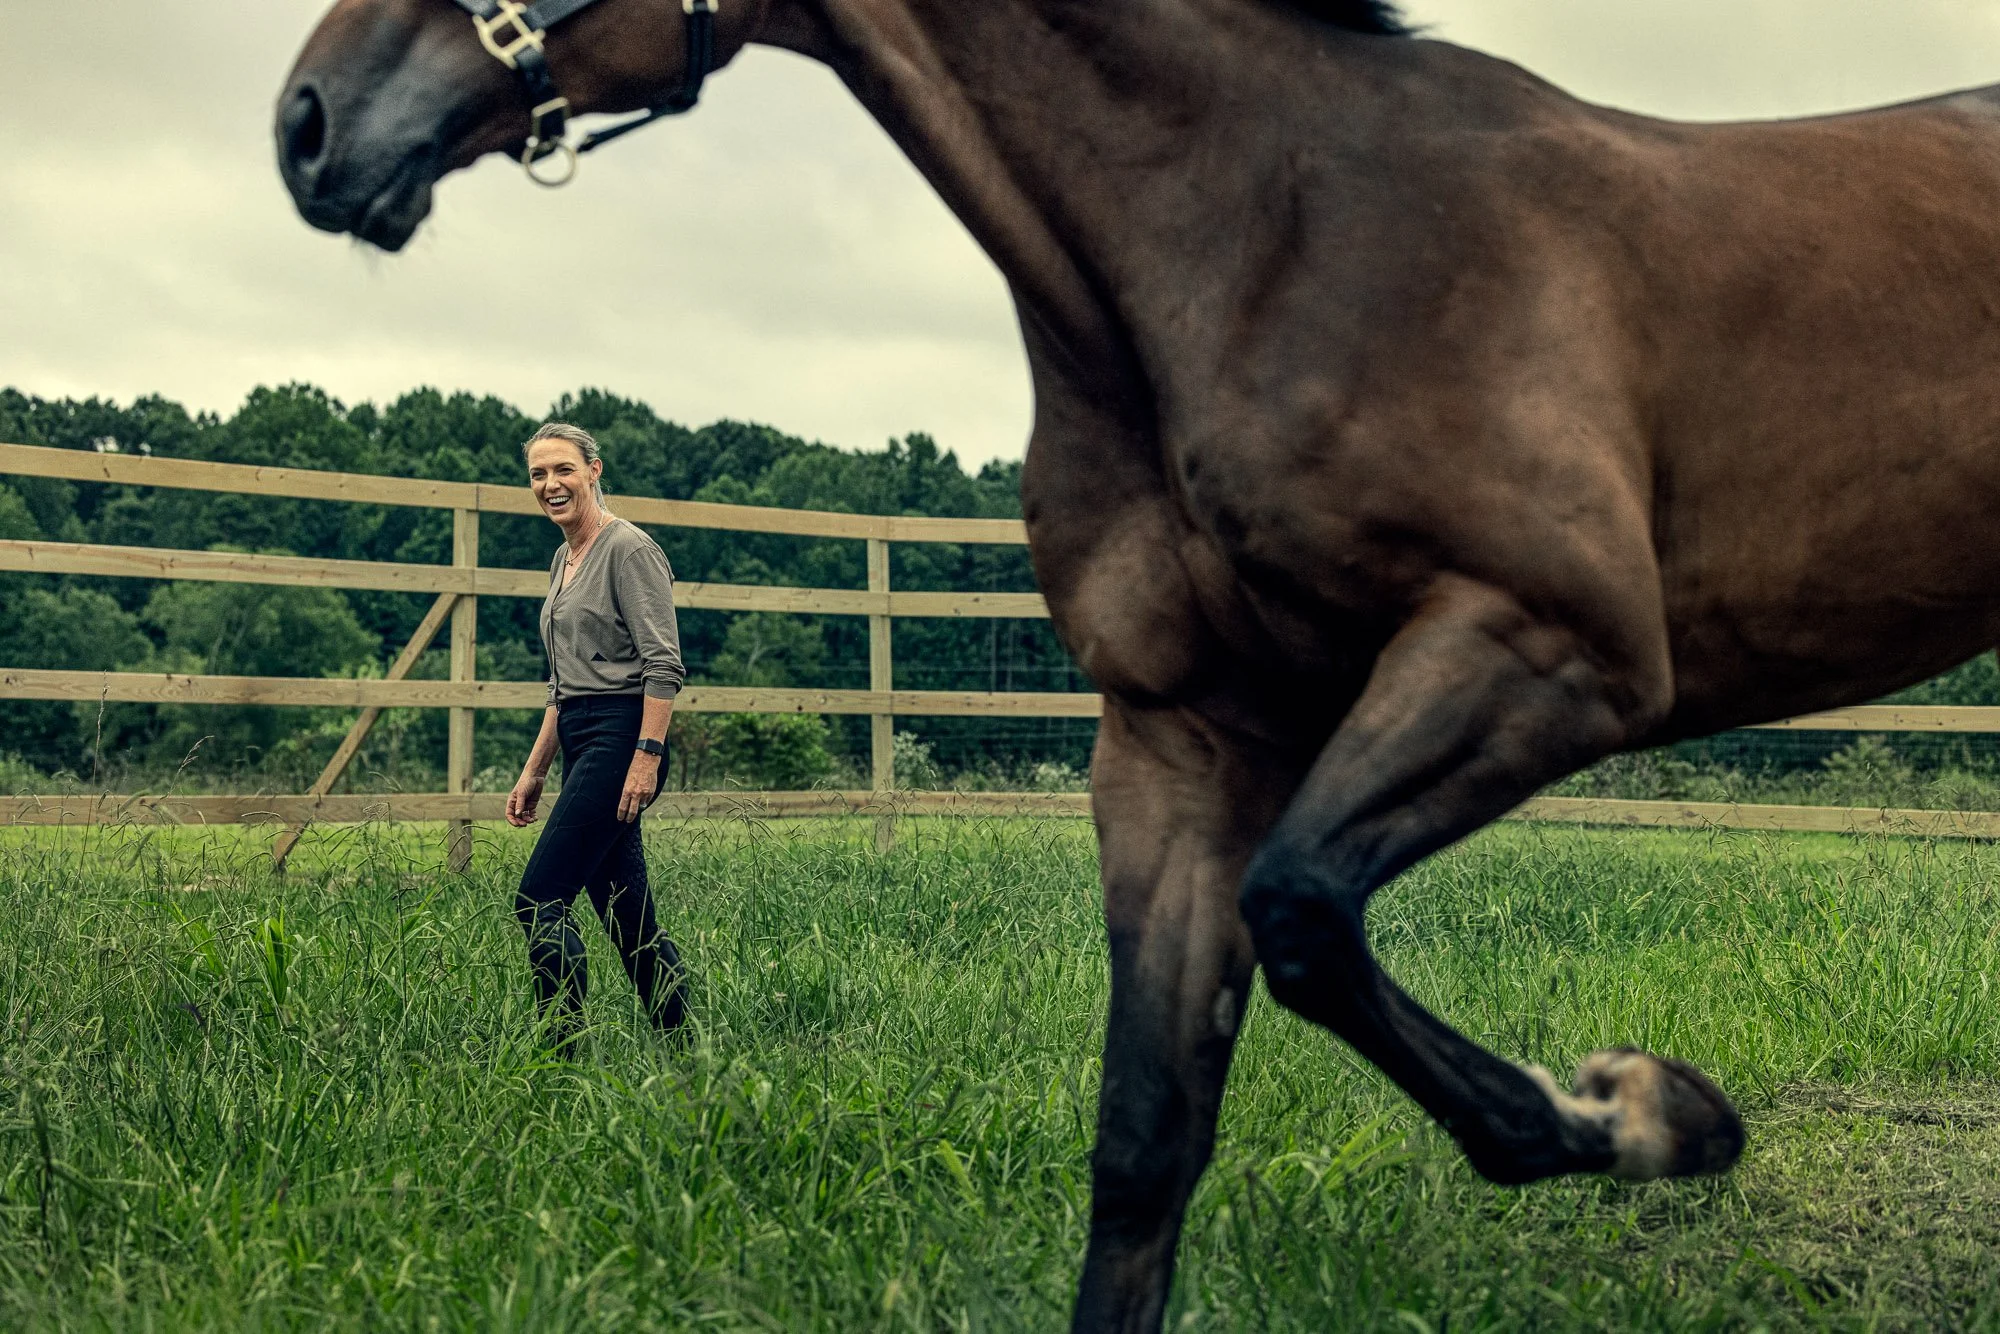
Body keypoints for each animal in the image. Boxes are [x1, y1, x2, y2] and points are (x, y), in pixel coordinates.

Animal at [277, 1, 2000, 1327]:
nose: (309, 121)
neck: (1259, 233)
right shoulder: (1180, 736)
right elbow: (1145, 1131)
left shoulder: (1552, 645)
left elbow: (1303, 917)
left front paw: (1654, 1112)